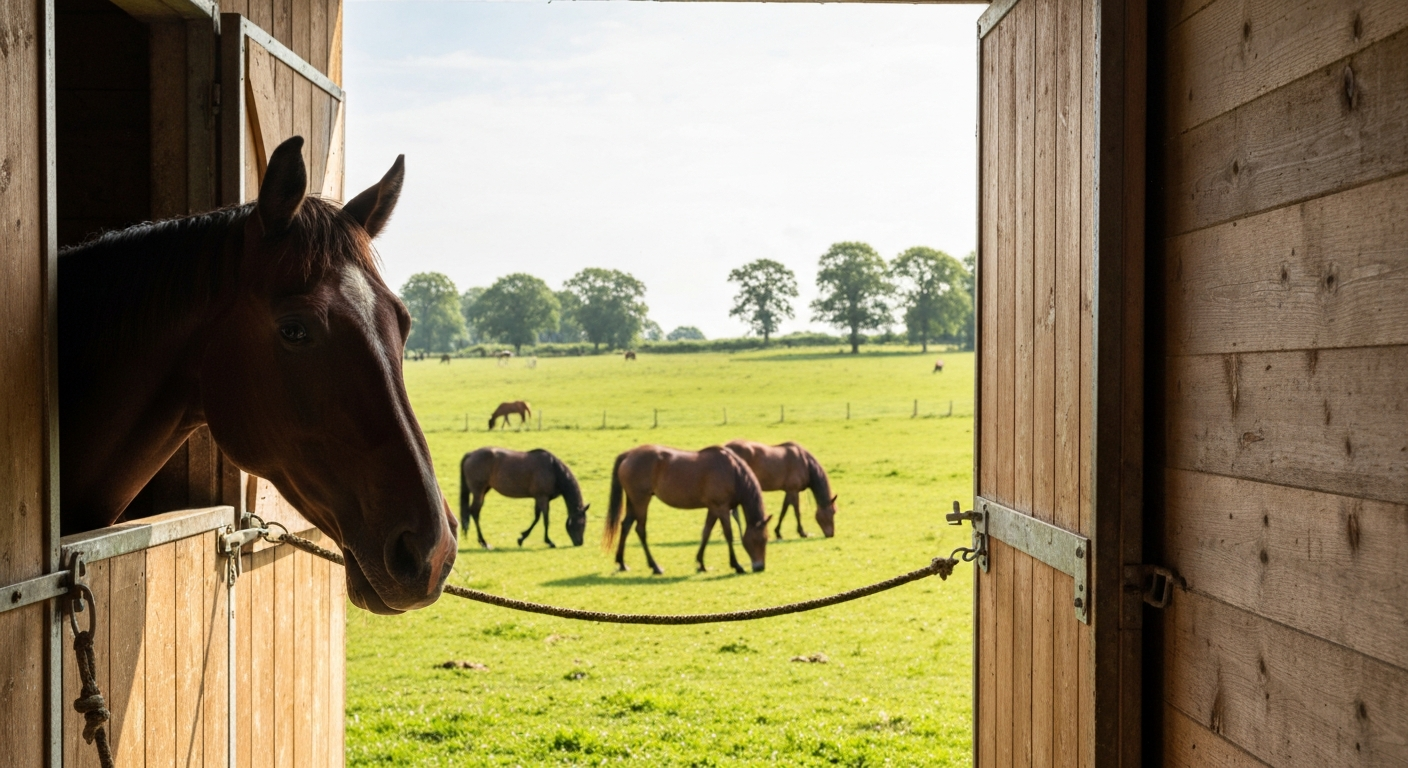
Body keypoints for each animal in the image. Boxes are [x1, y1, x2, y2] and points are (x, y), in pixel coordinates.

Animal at [458, 448, 589, 549]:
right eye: (582, 523)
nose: (580, 542)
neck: (553, 470)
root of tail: (470, 454)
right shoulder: (543, 498)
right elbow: (545, 519)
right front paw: (549, 541)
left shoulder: (538, 498)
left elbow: (537, 518)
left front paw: (521, 538)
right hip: (478, 492)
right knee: (475, 512)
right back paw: (483, 542)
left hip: (484, 490)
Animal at [603, 445, 771, 574]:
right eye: (760, 540)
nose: (760, 567)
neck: (733, 472)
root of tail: (628, 454)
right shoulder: (722, 508)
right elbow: (728, 535)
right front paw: (737, 565)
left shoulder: (713, 508)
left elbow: (706, 532)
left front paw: (701, 563)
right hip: (641, 500)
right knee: (640, 529)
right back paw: (655, 567)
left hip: (633, 501)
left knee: (626, 526)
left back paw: (622, 563)